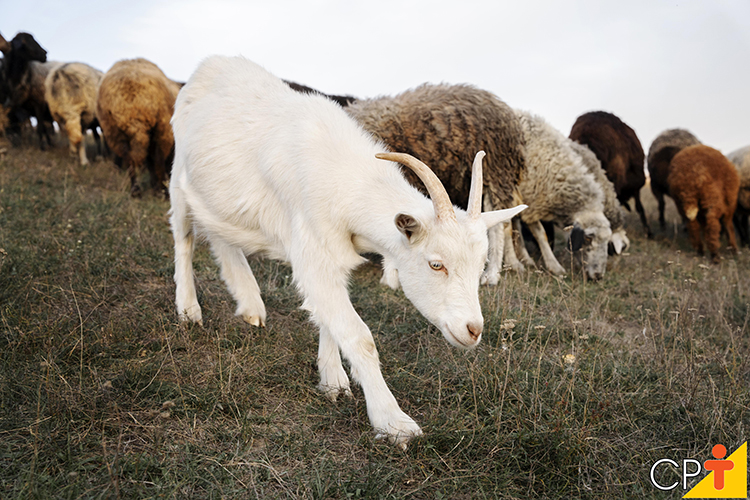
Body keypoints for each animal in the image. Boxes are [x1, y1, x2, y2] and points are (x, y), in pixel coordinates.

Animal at [95, 58, 182, 197]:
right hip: (161, 129)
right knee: (156, 159)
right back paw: (161, 191)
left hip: (115, 133)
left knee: (132, 159)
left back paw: (137, 190)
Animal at [169, 55, 528, 450]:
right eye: (436, 264)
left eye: (480, 268)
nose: (473, 330)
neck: (345, 179)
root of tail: (212, 63)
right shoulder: (312, 252)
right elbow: (359, 336)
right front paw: (393, 422)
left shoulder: (334, 256)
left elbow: (330, 318)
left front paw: (332, 381)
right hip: (178, 176)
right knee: (184, 238)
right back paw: (189, 309)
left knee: (221, 236)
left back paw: (249, 304)